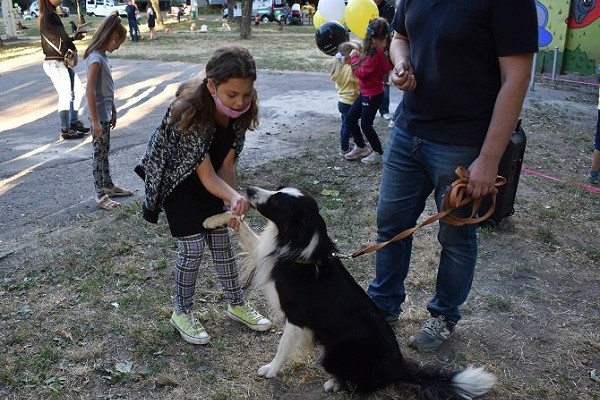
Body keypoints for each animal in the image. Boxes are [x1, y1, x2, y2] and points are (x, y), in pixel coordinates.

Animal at [204, 188, 494, 400]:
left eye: (276, 201)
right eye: (277, 190)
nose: (249, 189)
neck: (301, 247)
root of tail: (398, 365)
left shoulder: (296, 317)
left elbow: (282, 346)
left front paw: (270, 370)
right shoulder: (265, 251)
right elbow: (244, 229)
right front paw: (214, 219)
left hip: (333, 354)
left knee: (369, 385)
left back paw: (335, 384)